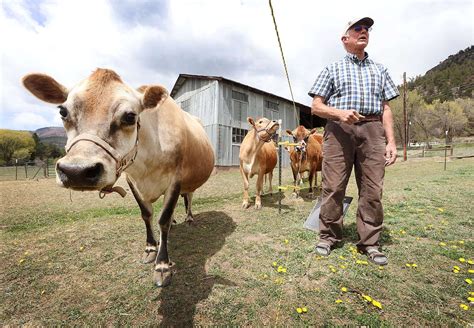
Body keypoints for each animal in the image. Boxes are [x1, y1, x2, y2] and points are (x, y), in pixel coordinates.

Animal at [21, 69, 215, 288]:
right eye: (63, 112)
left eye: (130, 116)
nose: (76, 171)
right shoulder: (131, 180)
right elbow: (146, 214)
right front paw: (150, 248)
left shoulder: (176, 180)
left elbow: (162, 219)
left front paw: (162, 265)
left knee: (189, 197)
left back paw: (189, 218)